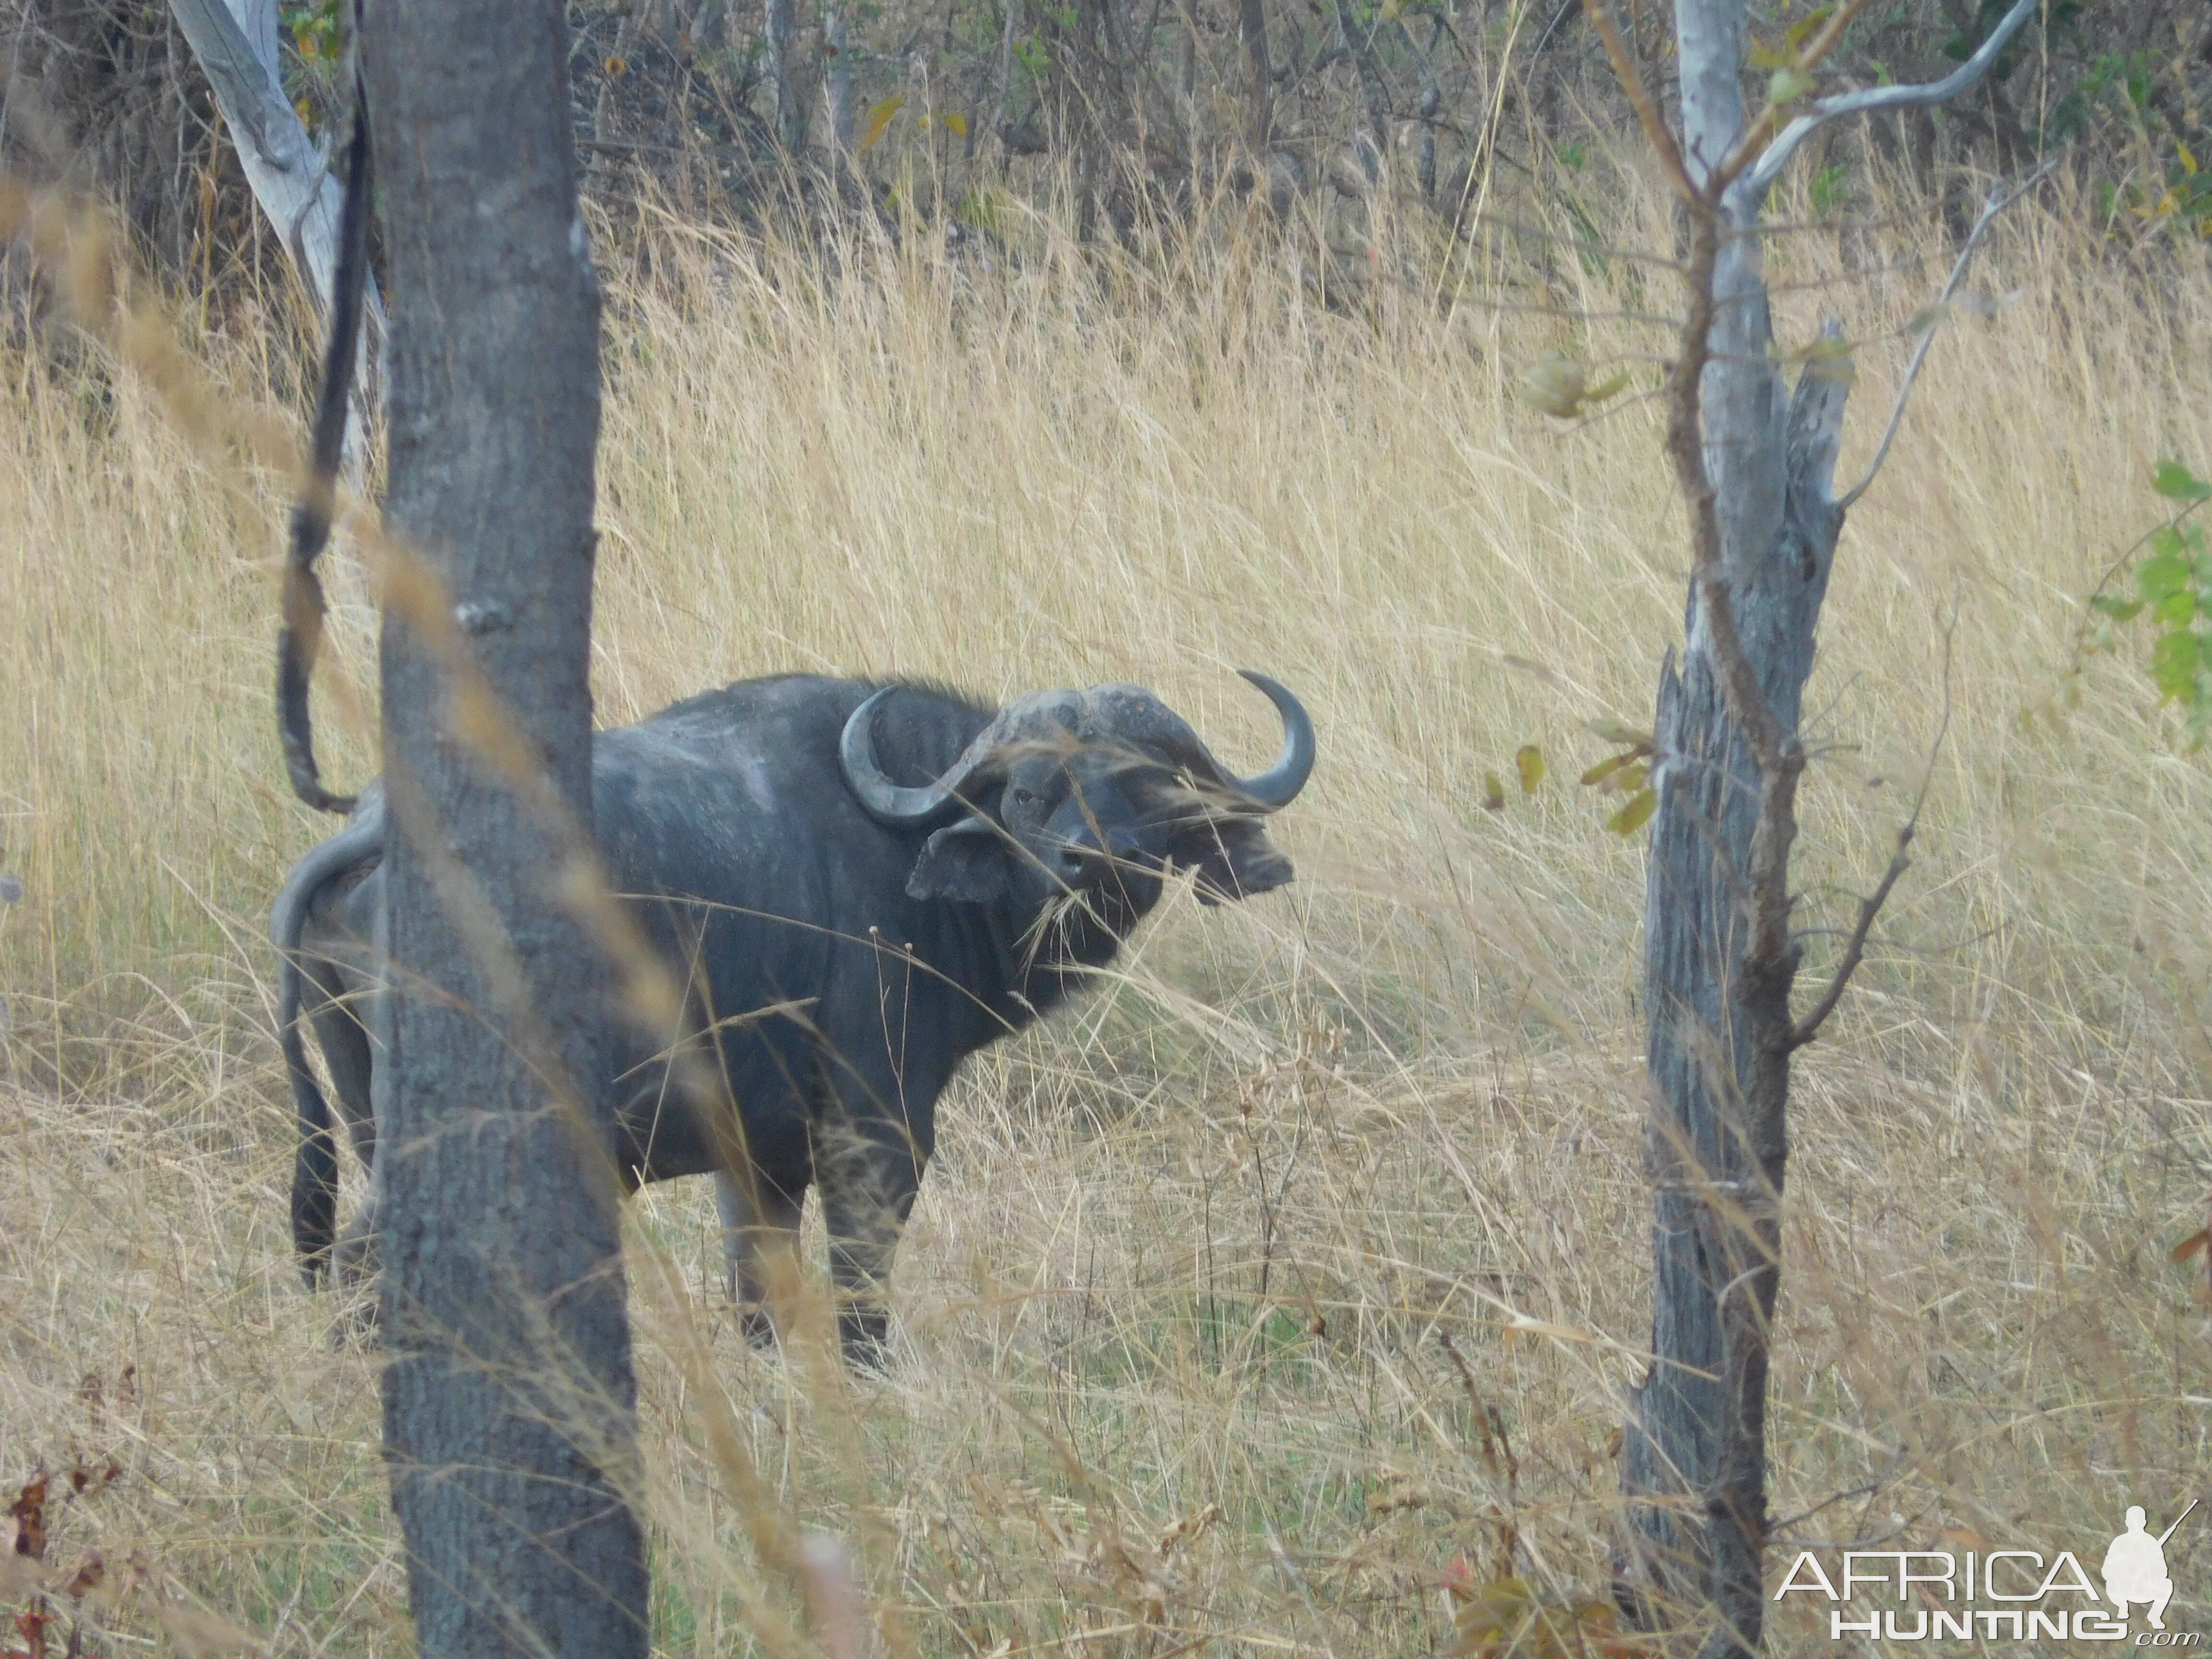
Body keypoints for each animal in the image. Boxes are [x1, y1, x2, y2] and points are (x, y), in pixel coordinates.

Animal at [274, 668, 1309, 1371]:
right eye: (1028, 792)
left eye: (1147, 786)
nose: (1101, 860)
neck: (893, 850)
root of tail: (373, 826)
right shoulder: (878, 1125)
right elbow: (859, 1280)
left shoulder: (753, 1155)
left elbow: (757, 1291)